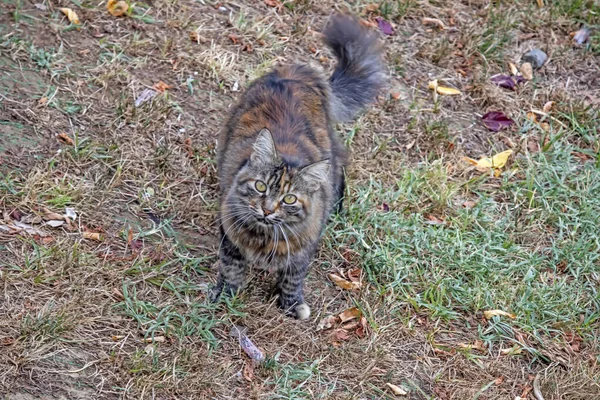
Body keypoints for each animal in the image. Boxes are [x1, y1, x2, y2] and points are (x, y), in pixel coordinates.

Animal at [211, 14, 386, 318]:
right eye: (260, 186)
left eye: (289, 199)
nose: (267, 209)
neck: (265, 237)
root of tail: (298, 70)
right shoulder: (230, 237)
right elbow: (231, 270)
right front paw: (225, 296)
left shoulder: (303, 251)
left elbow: (292, 278)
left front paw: (291, 305)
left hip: (332, 153)